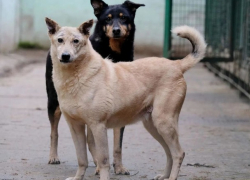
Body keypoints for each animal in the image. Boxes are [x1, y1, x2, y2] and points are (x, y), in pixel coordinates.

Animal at [45, 0, 145, 175]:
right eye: (108, 18)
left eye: (124, 17)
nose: (116, 30)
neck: (114, 52)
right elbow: (92, 141)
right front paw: (100, 166)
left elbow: (117, 144)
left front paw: (119, 167)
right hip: (53, 102)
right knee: (54, 132)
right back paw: (54, 157)